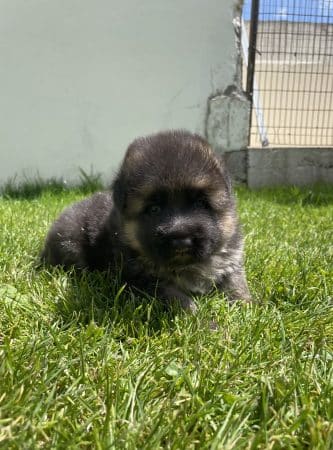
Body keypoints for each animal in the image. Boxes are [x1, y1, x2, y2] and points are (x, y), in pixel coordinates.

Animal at [41, 130, 249, 312]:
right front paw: (203, 322)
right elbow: (180, 301)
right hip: (71, 247)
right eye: (154, 209)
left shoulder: (231, 263)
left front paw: (248, 308)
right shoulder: (147, 281)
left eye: (200, 203)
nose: (181, 240)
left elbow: (237, 286)